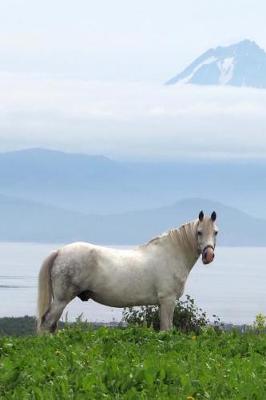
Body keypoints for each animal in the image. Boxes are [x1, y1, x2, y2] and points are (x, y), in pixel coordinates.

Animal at [37, 211, 218, 332]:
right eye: (199, 232)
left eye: (216, 232)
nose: (208, 255)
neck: (171, 253)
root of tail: (60, 251)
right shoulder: (168, 300)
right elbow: (167, 329)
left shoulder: (162, 303)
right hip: (61, 299)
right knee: (47, 323)